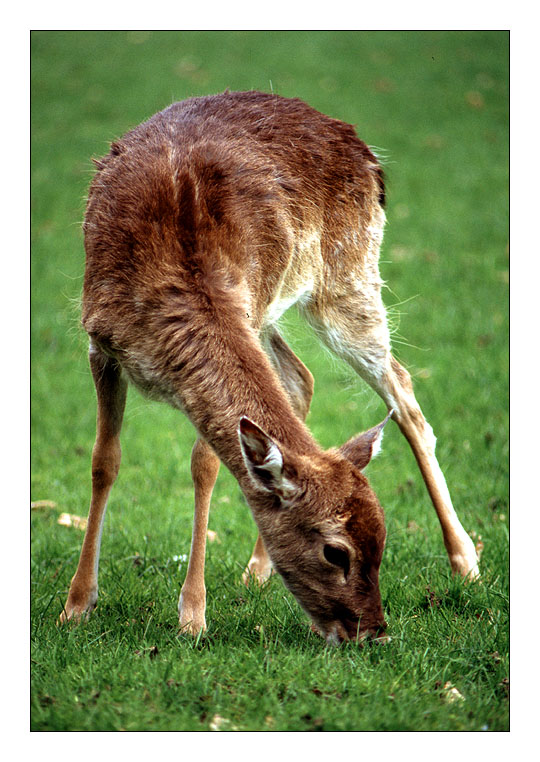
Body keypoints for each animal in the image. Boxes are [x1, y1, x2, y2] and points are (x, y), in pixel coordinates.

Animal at [59, 92, 478, 644]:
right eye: (336, 551)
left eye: (384, 539)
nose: (373, 633)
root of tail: (366, 152)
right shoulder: (100, 340)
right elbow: (104, 461)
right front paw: (76, 606)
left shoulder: (246, 304)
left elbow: (205, 463)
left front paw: (192, 615)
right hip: (283, 304)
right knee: (302, 377)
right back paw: (257, 570)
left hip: (346, 275)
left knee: (403, 392)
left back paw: (465, 560)